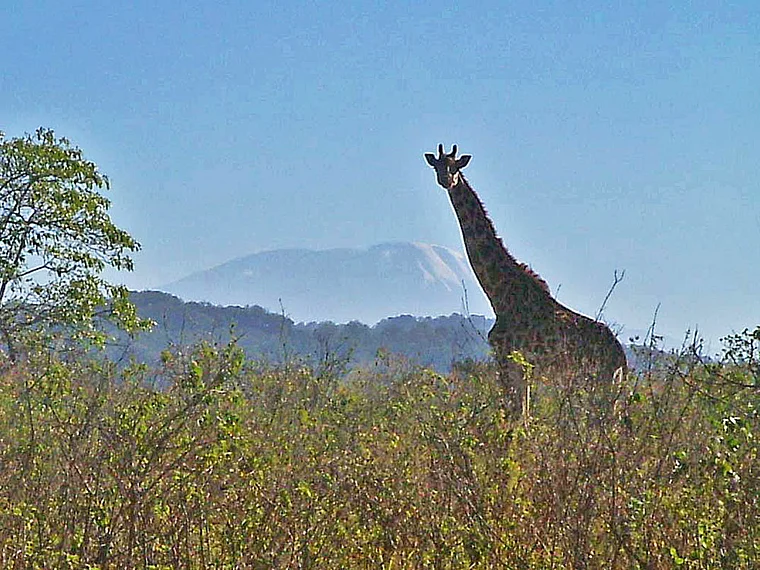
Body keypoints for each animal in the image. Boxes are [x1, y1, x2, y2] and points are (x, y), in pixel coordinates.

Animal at [425, 144, 626, 418]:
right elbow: (524, 415)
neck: (498, 294)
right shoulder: (523, 367)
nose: (446, 180)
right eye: (437, 166)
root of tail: (622, 358)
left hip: (598, 381)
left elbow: (513, 414)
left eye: (455, 167)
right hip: (609, 385)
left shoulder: (505, 357)